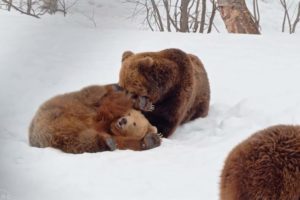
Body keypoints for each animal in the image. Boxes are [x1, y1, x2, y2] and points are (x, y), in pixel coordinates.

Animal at [29, 83, 162, 154]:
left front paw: (152, 139)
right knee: (95, 93)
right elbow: (109, 105)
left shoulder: (120, 137)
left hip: (59, 131)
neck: (109, 127)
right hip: (60, 110)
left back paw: (108, 142)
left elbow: (129, 144)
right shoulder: (102, 112)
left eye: (134, 124)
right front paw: (142, 103)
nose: (123, 121)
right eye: (129, 115)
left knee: (79, 140)